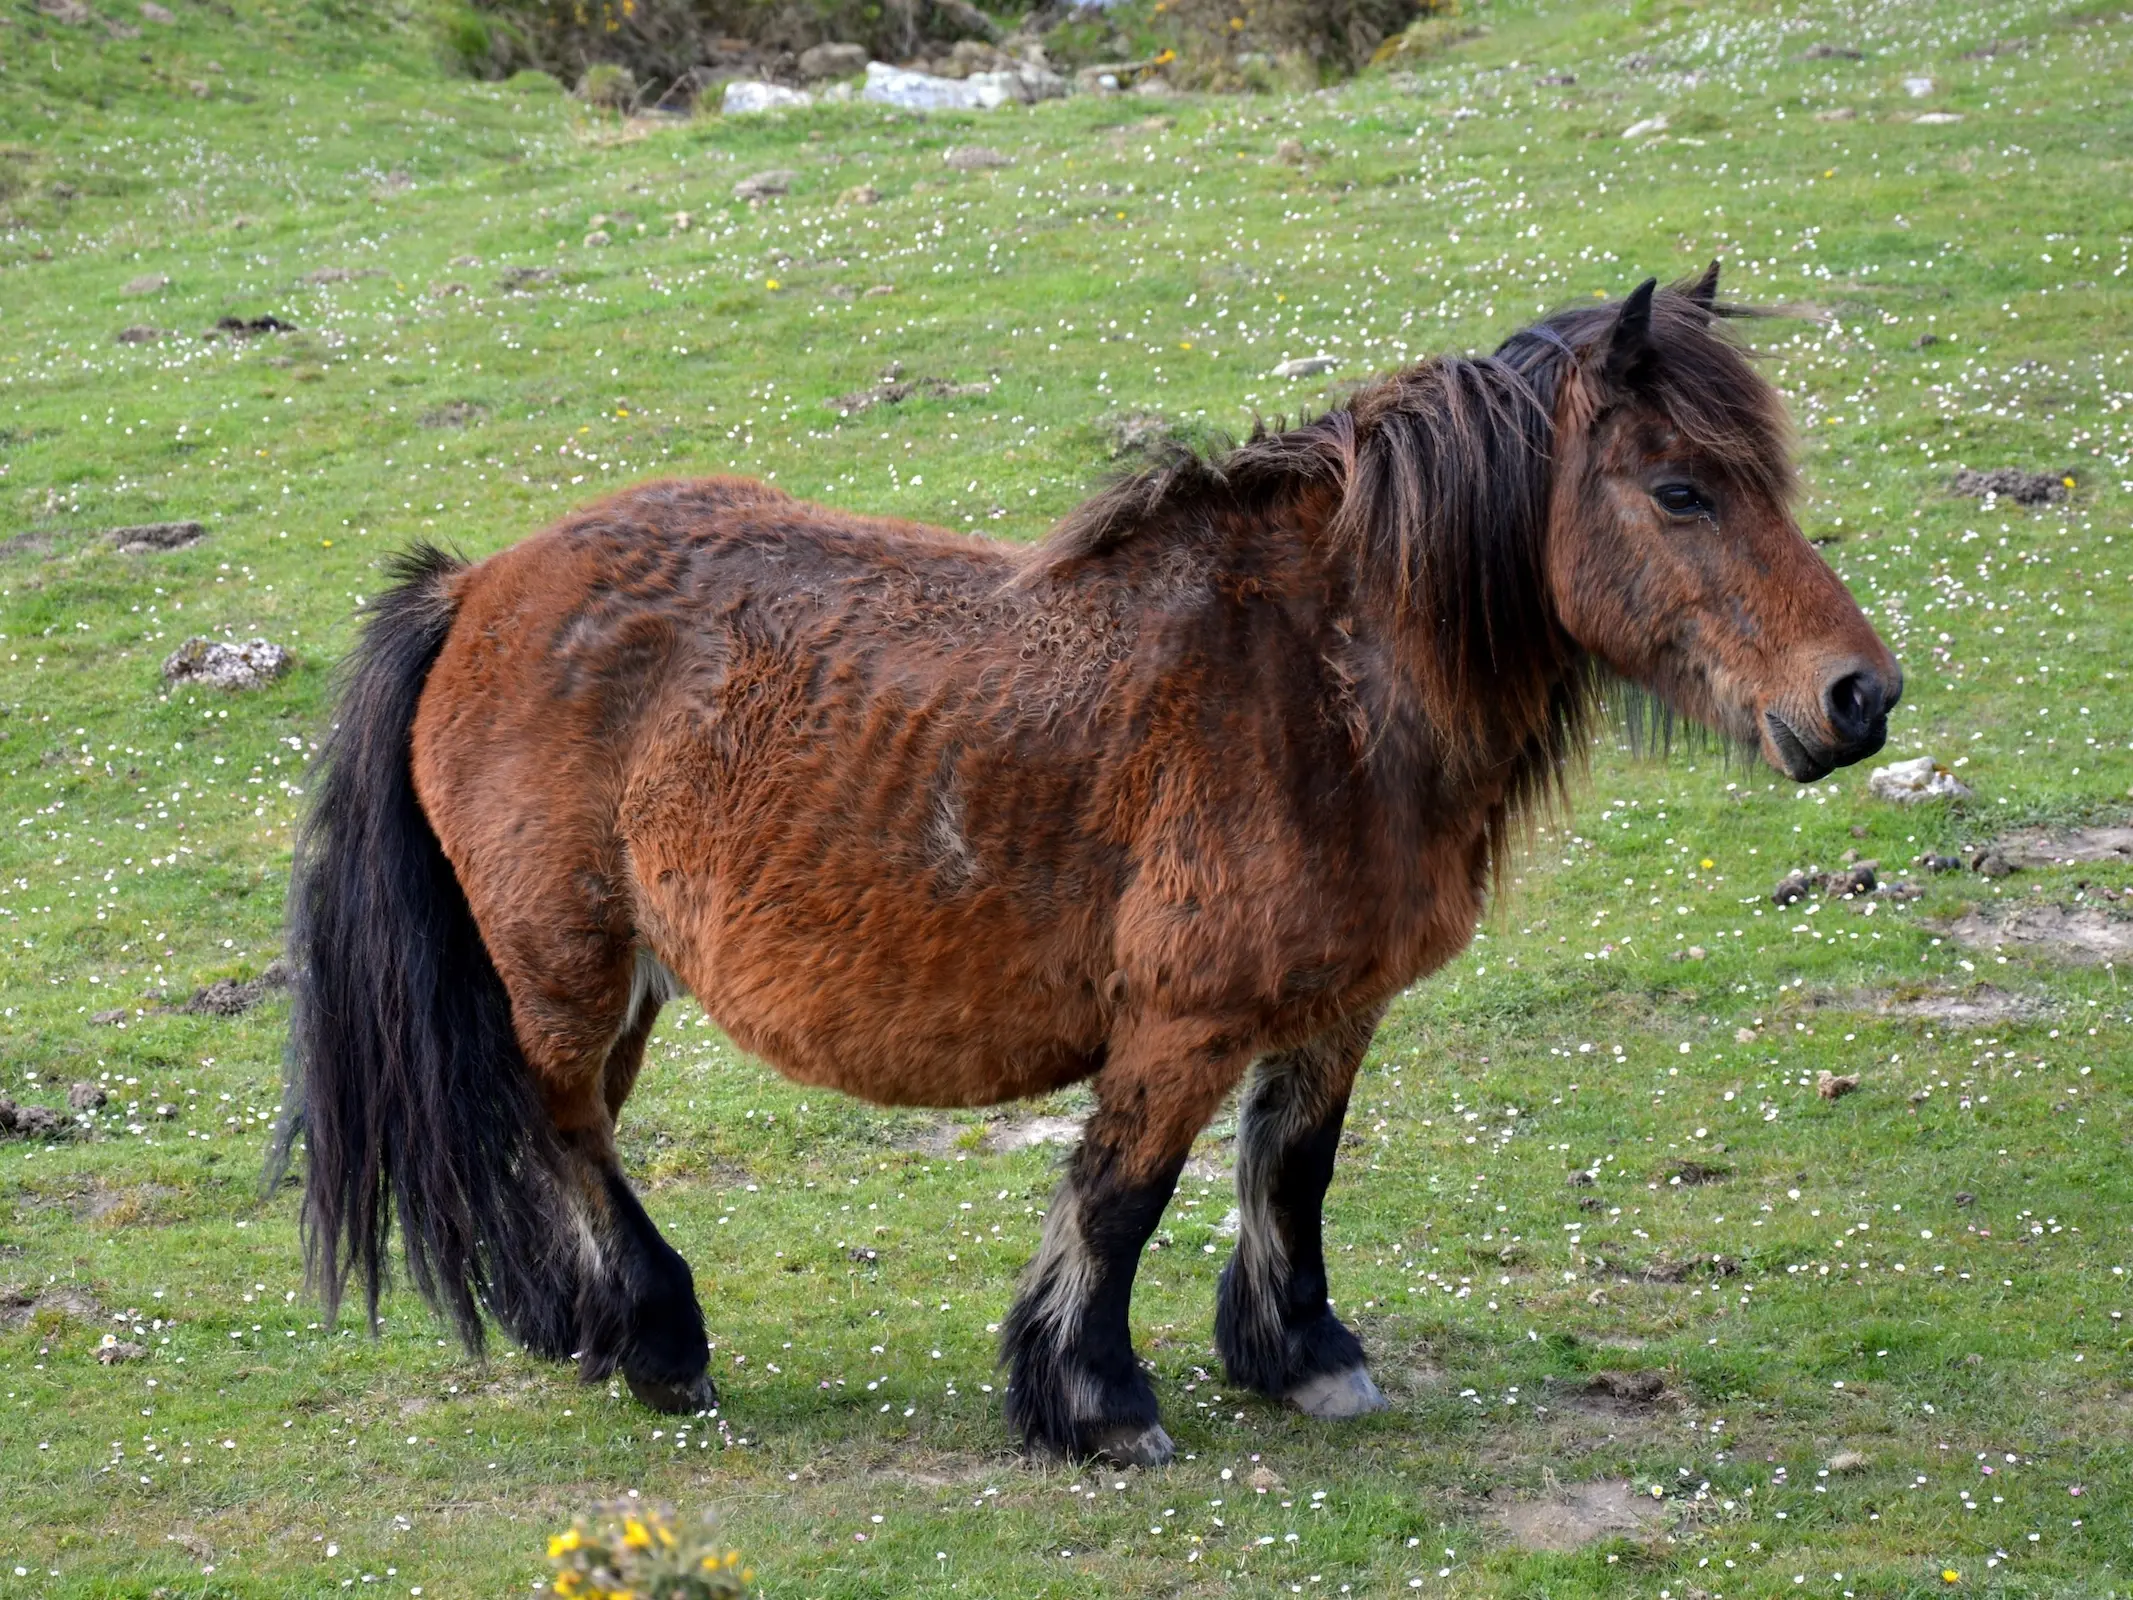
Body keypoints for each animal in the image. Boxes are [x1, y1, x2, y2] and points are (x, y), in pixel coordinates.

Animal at [279, 269, 1902, 1476]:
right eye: (1679, 492)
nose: (1860, 697)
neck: (1317, 684)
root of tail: (480, 584)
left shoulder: (1335, 1009)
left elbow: (1292, 1171)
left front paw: (1300, 1357)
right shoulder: (1180, 1021)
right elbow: (1122, 1197)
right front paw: (1096, 1400)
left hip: (619, 981)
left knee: (570, 1131)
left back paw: (590, 1329)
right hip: (567, 964)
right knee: (563, 1125)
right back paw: (661, 1342)